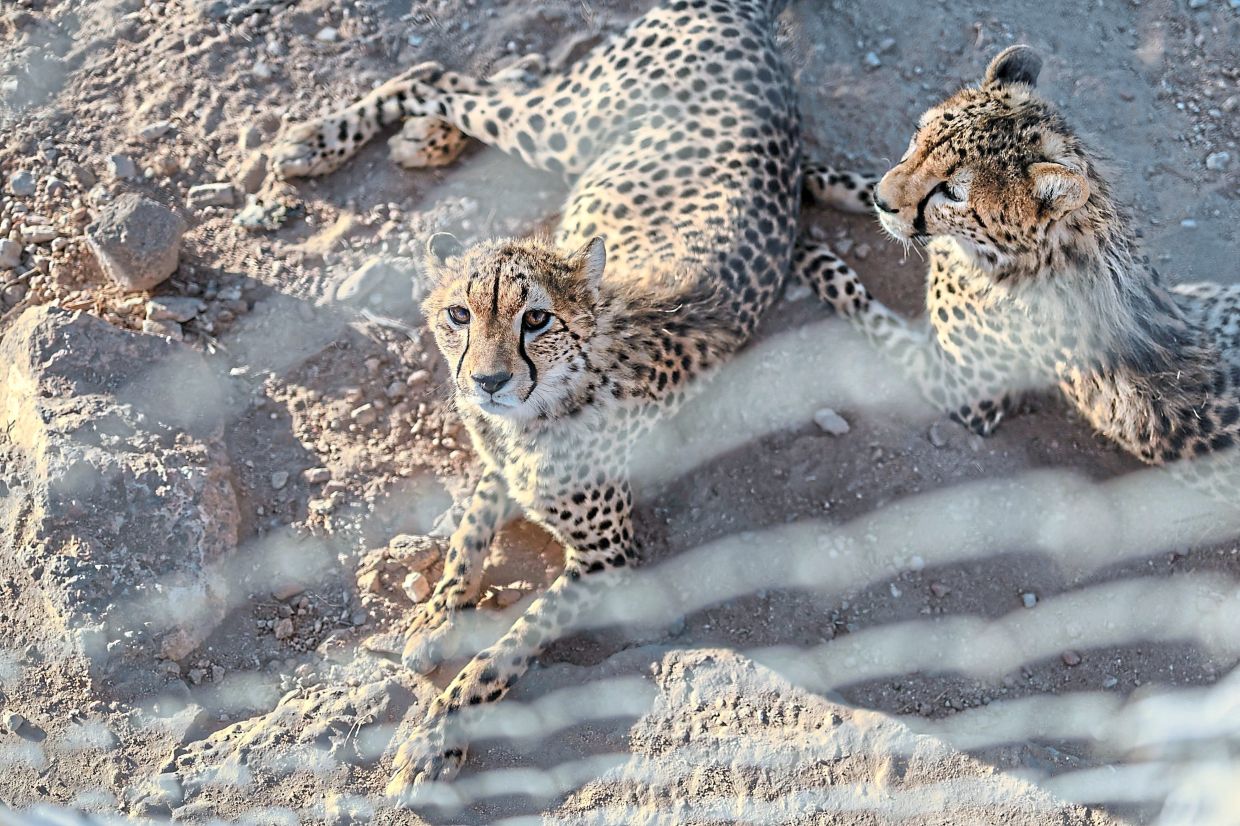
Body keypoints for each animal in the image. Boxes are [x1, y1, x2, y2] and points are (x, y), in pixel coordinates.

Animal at [268, 0, 871, 802]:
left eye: (536, 319)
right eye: (459, 315)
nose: (487, 382)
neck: (547, 402)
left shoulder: (608, 556)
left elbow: (509, 643)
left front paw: (437, 733)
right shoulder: (501, 466)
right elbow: (467, 538)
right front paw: (436, 614)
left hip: (566, 126)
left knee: (452, 80)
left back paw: (378, 136)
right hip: (569, 124)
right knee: (446, 75)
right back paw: (340, 138)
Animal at [801, 45, 1240, 507]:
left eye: (952, 193)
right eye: (918, 138)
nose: (884, 201)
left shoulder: (965, 397)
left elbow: (860, 304)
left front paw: (806, 253)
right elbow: (867, 182)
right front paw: (811, 180)